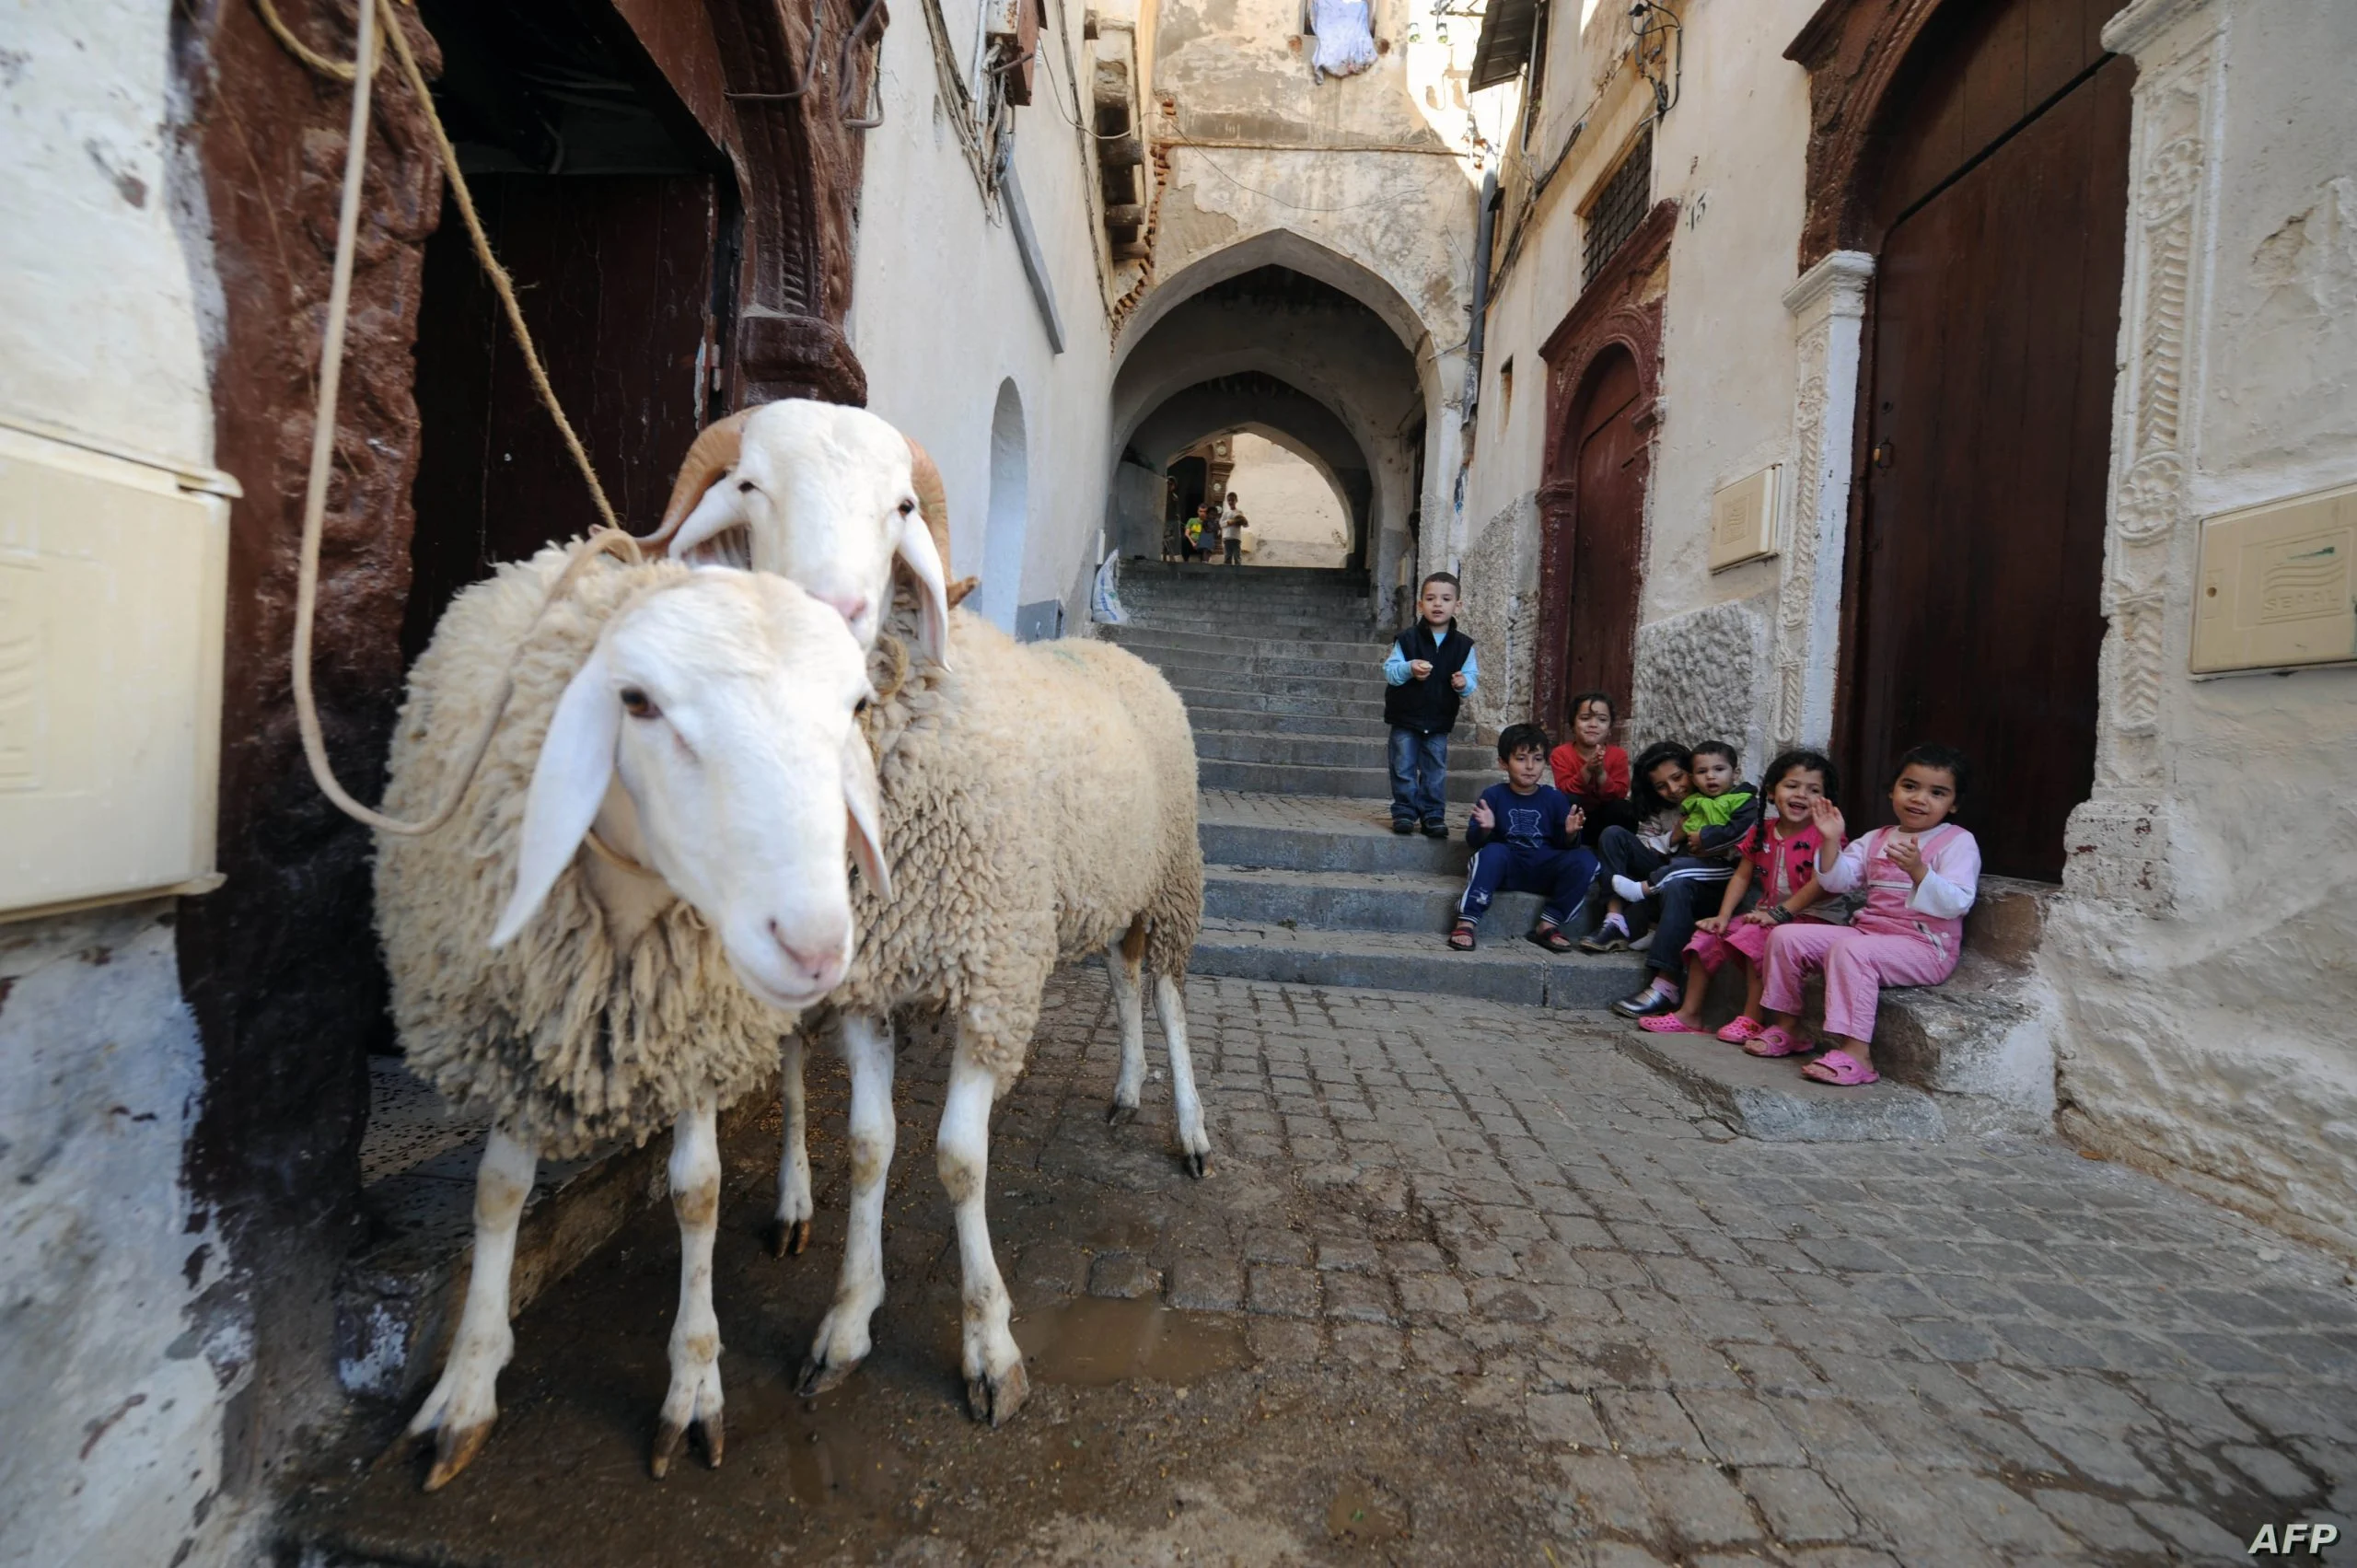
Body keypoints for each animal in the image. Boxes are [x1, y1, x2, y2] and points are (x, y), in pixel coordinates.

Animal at [367, 544, 886, 1490]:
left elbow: (698, 1191)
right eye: (637, 701)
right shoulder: (517, 1029)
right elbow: (497, 1193)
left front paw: (695, 1384)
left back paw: (795, 1195)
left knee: (794, 1070)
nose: (816, 945)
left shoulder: (697, 1031)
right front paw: (466, 1386)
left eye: (856, 706)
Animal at [655, 401, 1206, 1414]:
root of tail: (1112, 648)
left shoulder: (993, 978)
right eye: (748, 484)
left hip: (1172, 876)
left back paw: (1189, 1129)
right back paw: (1122, 1089)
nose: (831, 611)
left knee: (1173, 994)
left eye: (901, 505)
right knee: (1124, 978)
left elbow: (957, 1158)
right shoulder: (869, 985)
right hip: (1108, 889)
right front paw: (845, 1323)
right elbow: (871, 1146)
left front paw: (989, 1346)